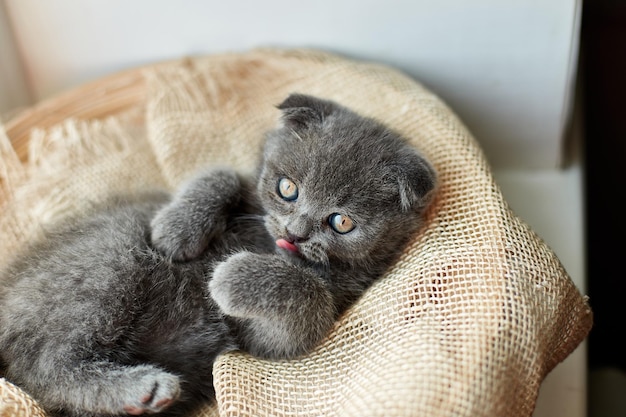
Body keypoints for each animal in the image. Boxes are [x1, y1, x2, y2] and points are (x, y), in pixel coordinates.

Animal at [0, 94, 434, 416]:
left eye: (341, 222)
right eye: (287, 188)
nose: (295, 233)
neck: (265, 242)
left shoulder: (276, 333)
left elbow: (307, 297)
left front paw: (230, 276)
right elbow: (223, 175)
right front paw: (174, 230)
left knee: (47, 373)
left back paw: (144, 390)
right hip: (113, 259)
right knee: (49, 366)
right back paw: (142, 386)